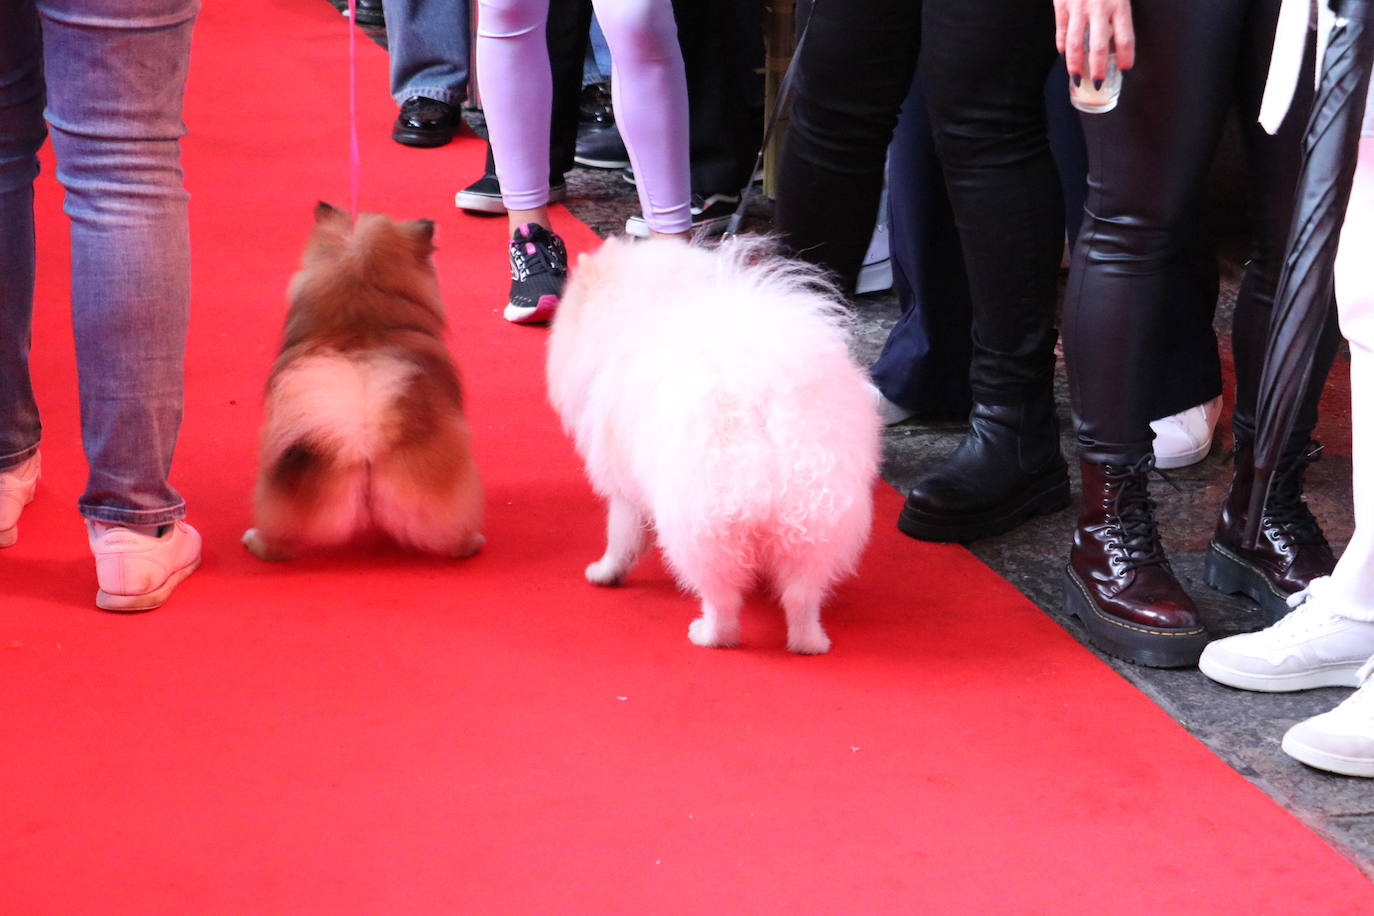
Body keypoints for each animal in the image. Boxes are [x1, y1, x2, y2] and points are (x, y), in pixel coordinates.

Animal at [546, 236, 879, 650]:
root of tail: (762, 393)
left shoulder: (623, 484)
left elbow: (621, 537)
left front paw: (604, 573)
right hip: (816, 515)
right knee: (802, 594)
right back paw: (810, 641)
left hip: (704, 521)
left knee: (721, 598)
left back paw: (709, 634)